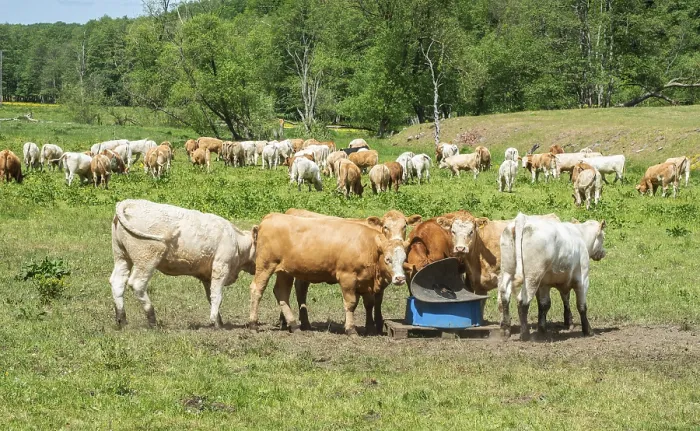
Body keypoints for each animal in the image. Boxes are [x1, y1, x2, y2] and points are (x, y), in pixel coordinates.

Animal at [110, 199, 258, 328]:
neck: (237, 241)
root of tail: (130, 202)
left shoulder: (207, 275)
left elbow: (210, 296)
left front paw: (218, 321)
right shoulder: (221, 267)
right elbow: (217, 295)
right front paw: (215, 323)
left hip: (121, 256)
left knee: (117, 281)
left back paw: (121, 320)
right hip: (147, 257)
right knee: (137, 284)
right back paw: (153, 321)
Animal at [247, 213, 408, 335]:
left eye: (404, 259)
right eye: (388, 259)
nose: (400, 278)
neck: (368, 247)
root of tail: (269, 217)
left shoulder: (365, 281)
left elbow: (369, 303)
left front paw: (370, 329)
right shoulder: (347, 277)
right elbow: (351, 303)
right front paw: (350, 329)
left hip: (285, 271)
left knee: (282, 292)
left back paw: (293, 325)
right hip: (265, 265)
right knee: (257, 290)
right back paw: (253, 324)